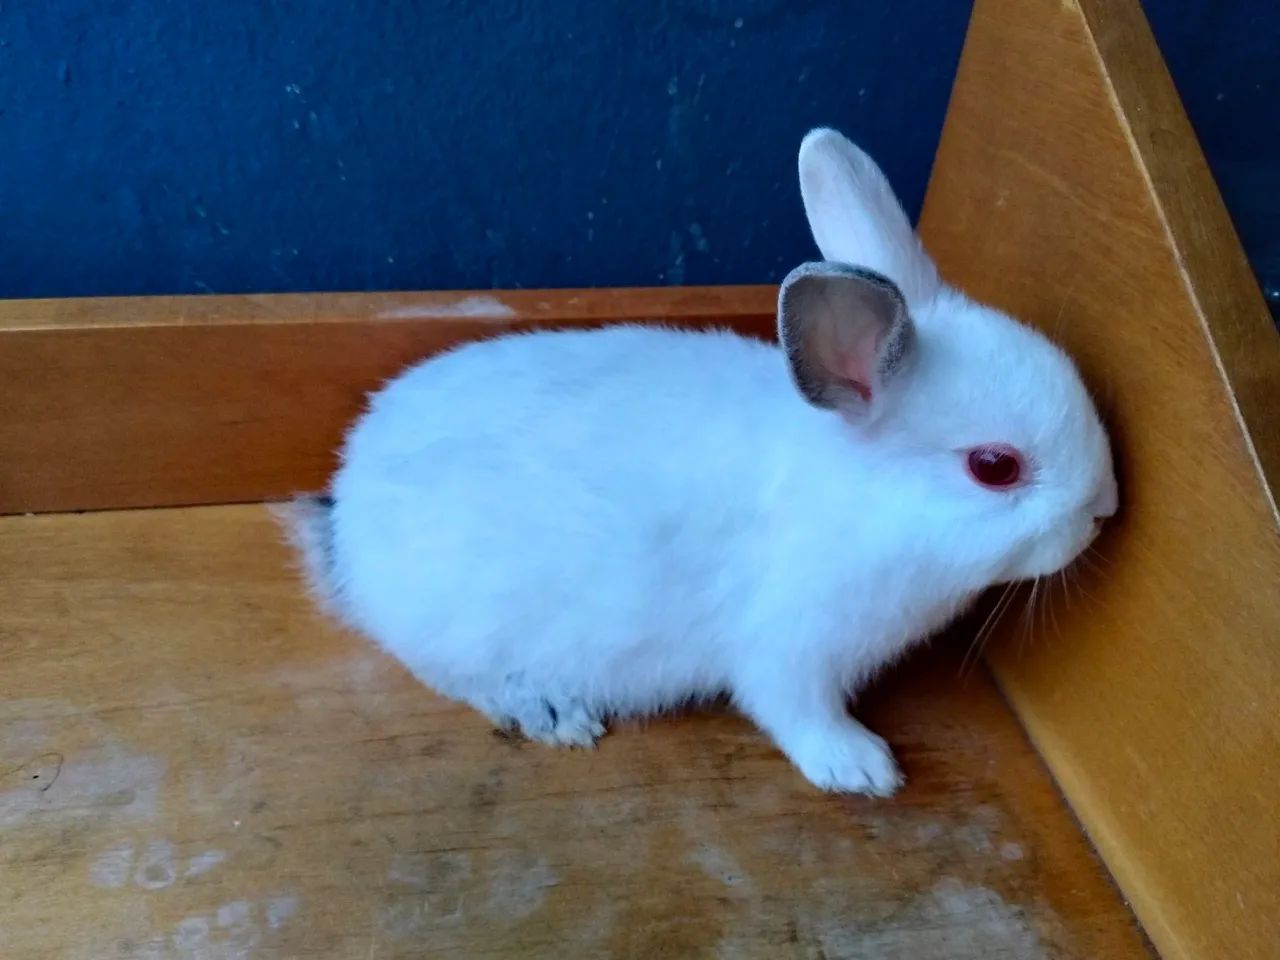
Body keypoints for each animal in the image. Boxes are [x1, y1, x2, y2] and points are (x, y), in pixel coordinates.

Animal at [281, 128, 1117, 796]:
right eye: (994, 467)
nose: (1105, 508)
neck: (853, 492)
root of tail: (346, 518)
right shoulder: (790, 648)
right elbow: (796, 711)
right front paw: (862, 768)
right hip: (466, 618)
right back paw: (549, 708)